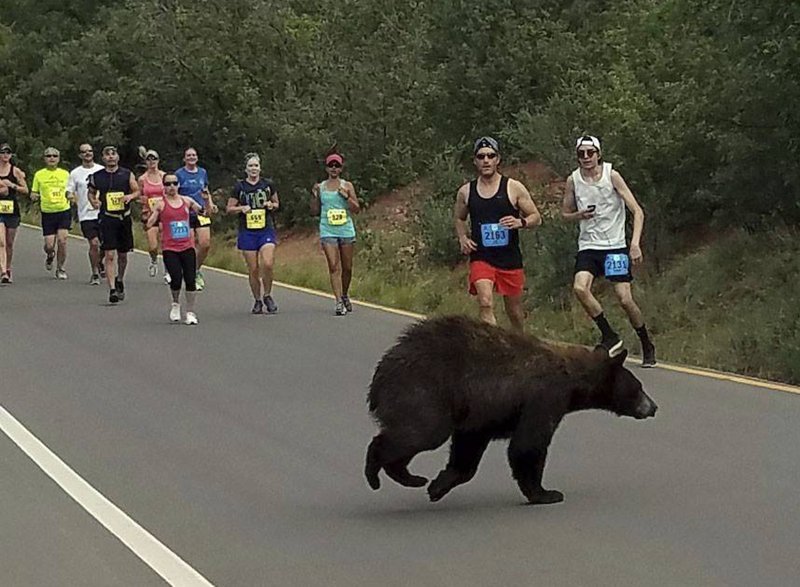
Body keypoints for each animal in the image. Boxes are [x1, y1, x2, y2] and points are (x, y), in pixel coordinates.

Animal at [366, 316, 660, 506]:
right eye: (638, 387)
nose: (654, 406)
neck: (574, 379)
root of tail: (379, 377)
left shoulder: (482, 411)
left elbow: (469, 446)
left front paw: (440, 484)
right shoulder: (545, 397)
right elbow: (528, 445)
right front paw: (546, 493)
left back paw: (409, 476)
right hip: (423, 392)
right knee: (421, 432)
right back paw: (382, 474)